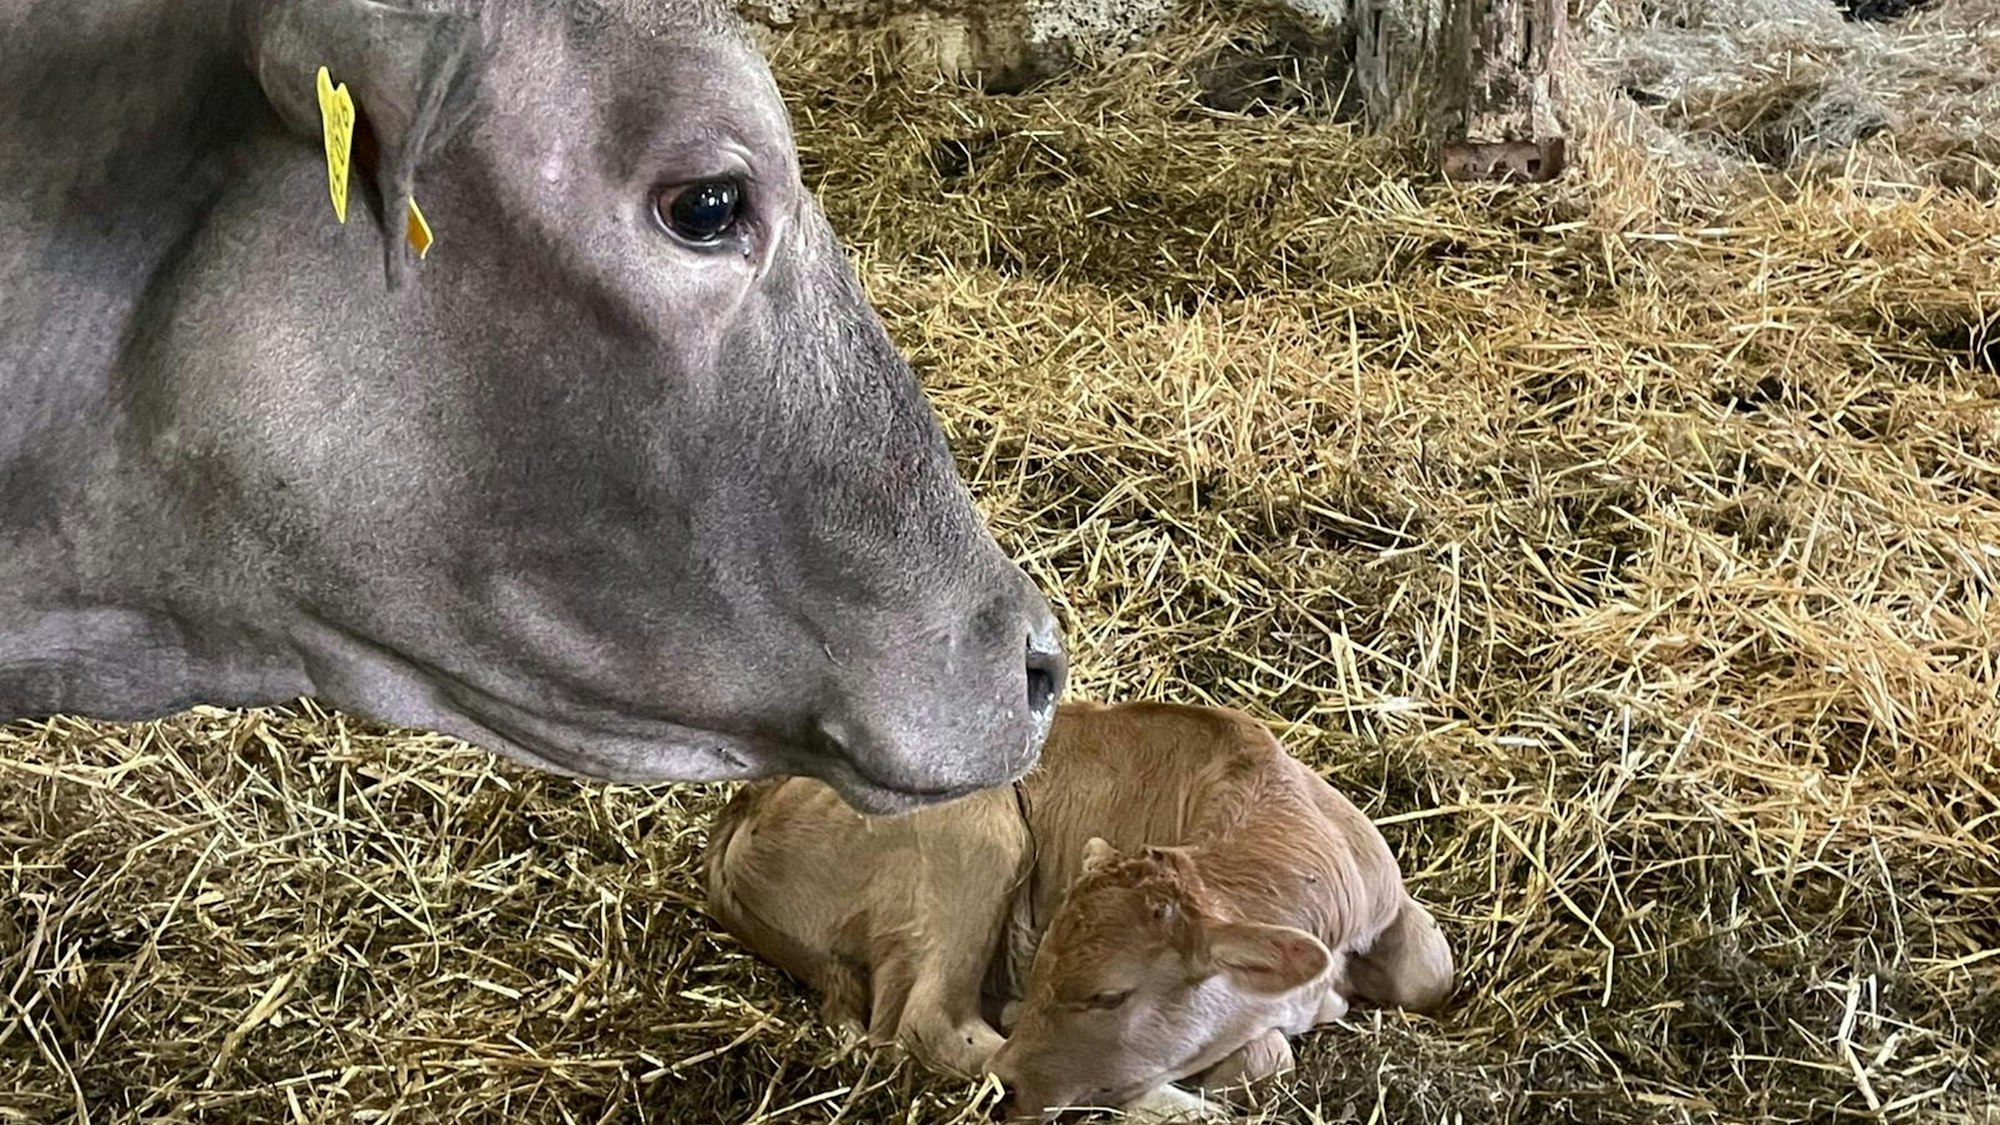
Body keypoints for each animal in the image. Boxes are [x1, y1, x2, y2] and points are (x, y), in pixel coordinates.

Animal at [703, 699, 1455, 1120]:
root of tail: (749, 801)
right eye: (1044, 973)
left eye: (1108, 995)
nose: (1010, 1088)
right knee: (923, 1023)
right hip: (978, 832)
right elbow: (1269, 1055)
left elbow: (1433, 972)